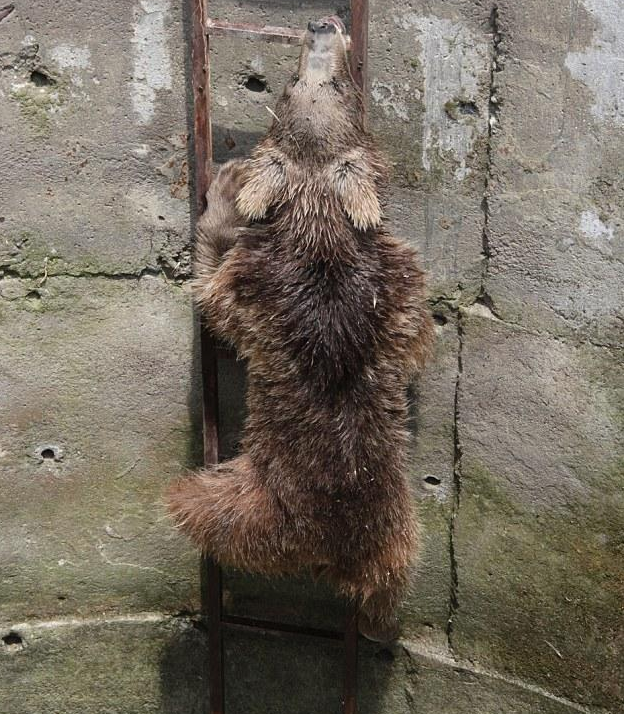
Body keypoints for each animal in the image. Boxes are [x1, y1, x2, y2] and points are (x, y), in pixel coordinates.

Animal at [167, 16, 434, 640]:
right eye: (291, 86)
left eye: (340, 87)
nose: (321, 25)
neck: (318, 212)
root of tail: (328, 556)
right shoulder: (397, 285)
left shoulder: (251, 289)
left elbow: (212, 293)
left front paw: (227, 188)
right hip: (398, 528)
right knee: (393, 572)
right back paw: (379, 619)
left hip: (247, 504)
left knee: (198, 508)